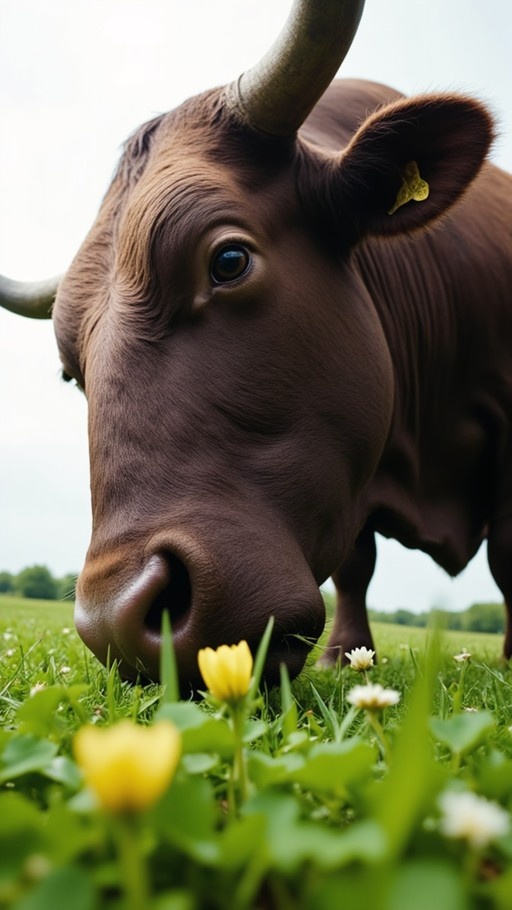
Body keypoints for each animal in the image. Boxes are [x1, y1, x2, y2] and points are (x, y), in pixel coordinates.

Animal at [1, 0, 511, 690]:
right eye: (69, 371)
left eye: (229, 260)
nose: (114, 620)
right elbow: (356, 562)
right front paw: (348, 655)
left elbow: (507, 552)